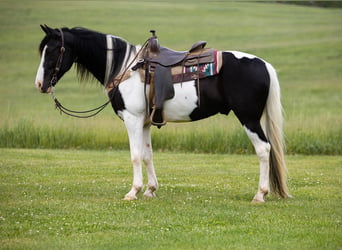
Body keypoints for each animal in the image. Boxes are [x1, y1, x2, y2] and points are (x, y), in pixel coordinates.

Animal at [34, 24, 290, 203]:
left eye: (54, 50)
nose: (40, 84)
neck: (125, 68)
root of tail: (264, 64)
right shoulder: (145, 122)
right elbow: (148, 155)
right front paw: (150, 190)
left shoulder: (132, 119)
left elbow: (135, 155)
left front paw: (133, 192)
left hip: (248, 118)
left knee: (264, 149)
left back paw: (260, 194)